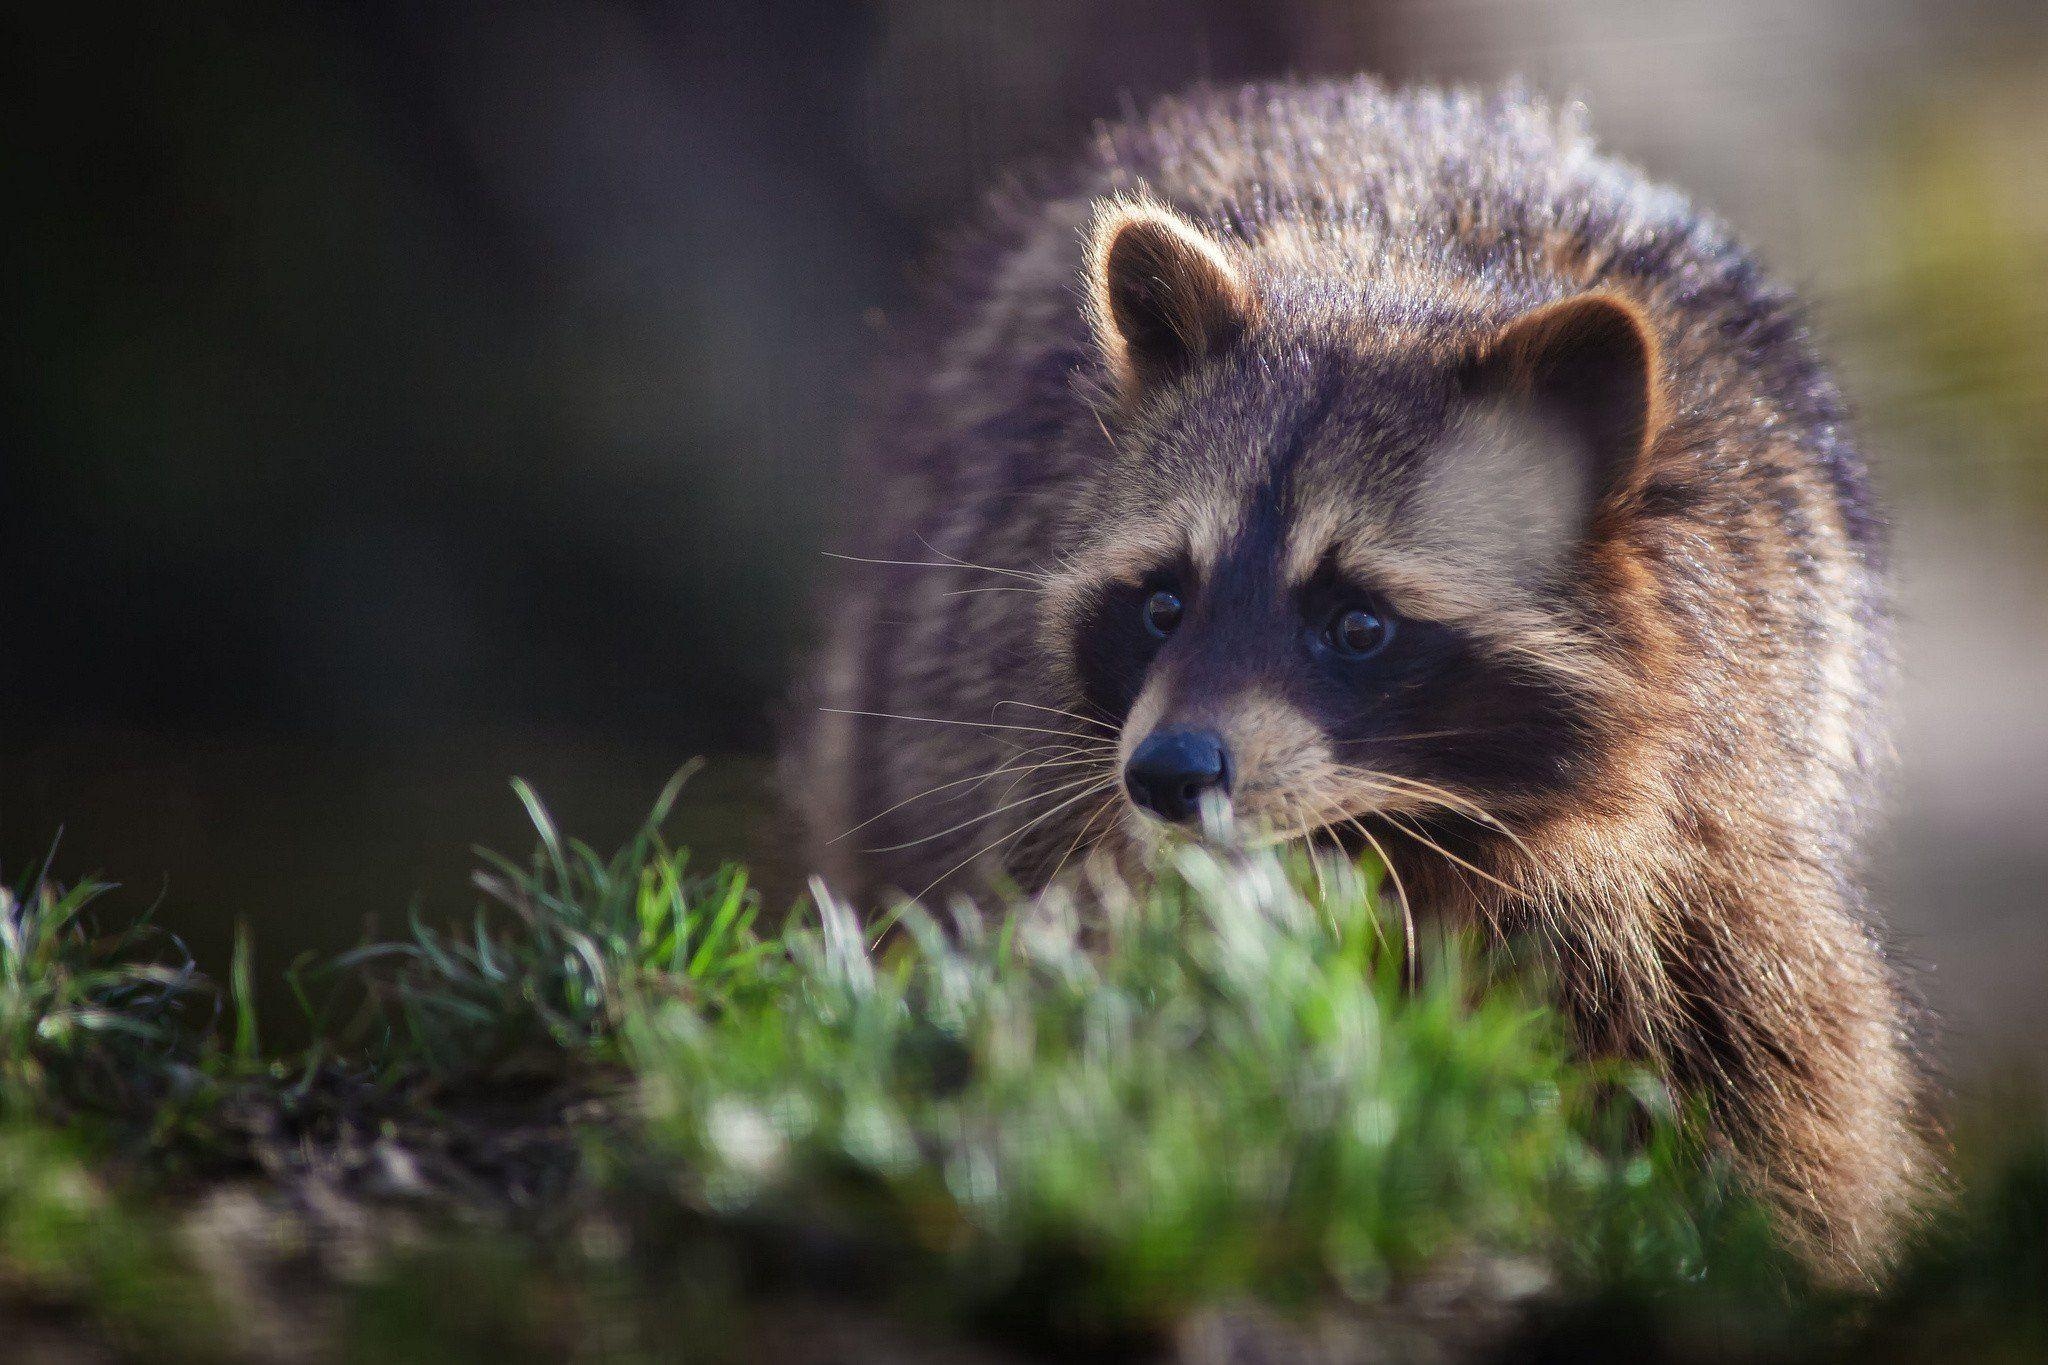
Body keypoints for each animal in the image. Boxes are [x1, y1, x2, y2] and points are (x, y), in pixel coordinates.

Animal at [774, 82, 1925, 1285]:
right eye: (1163, 605)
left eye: (1357, 624)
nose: (1167, 774)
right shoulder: (1056, 796)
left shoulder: (1709, 841)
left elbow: (1769, 1078)